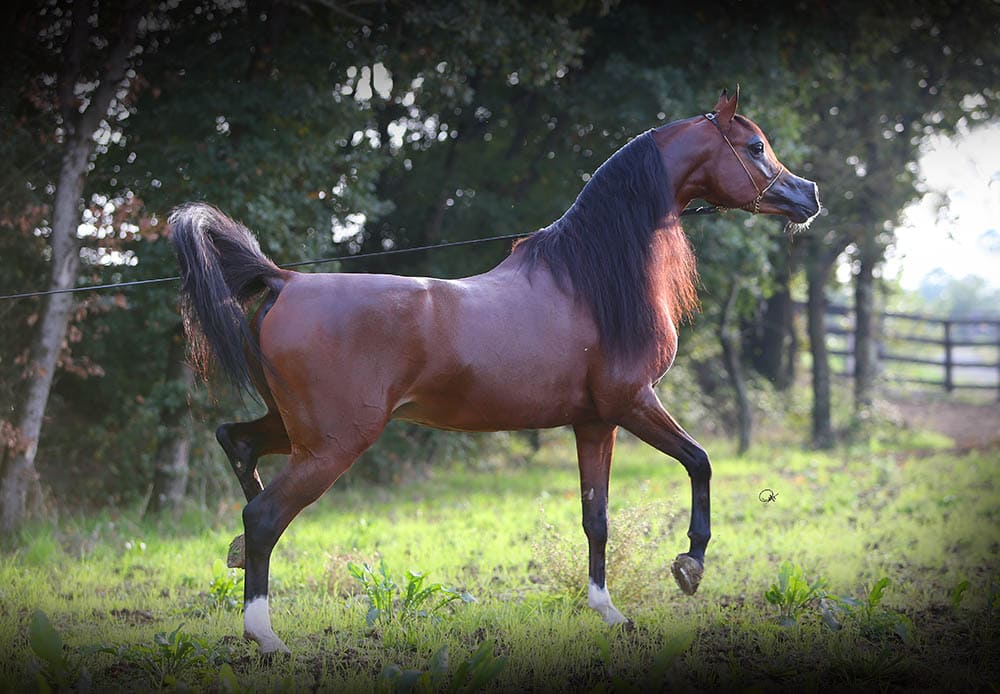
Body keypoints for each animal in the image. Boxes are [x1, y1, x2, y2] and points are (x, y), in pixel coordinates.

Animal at [170, 88, 820, 654]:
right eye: (756, 146)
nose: (808, 195)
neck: (588, 280)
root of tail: (285, 280)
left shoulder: (595, 423)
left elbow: (596, 518)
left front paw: (607, 611)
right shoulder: (634, 403)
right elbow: (700, 462)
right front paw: (690, 565)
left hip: (298, 431)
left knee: (237, 446)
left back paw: (238, 558)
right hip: (334, 443)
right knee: (264, 517)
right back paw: (265, 635)